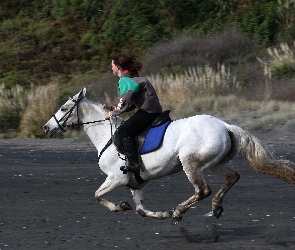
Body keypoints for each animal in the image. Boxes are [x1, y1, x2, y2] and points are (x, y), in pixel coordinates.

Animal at [42, 88, 295, 225]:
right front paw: (159, 213)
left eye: (64, 108)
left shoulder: (117, 178)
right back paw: (214, 208)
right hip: (214, 163)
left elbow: (97, 196)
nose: (46, 128)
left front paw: (120, 206)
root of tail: (225, 125)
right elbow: (141, 209)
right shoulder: (135, 182)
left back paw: (180, 211)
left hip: (190, 164)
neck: (107, 135)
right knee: (232, 177)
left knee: (202, 190)